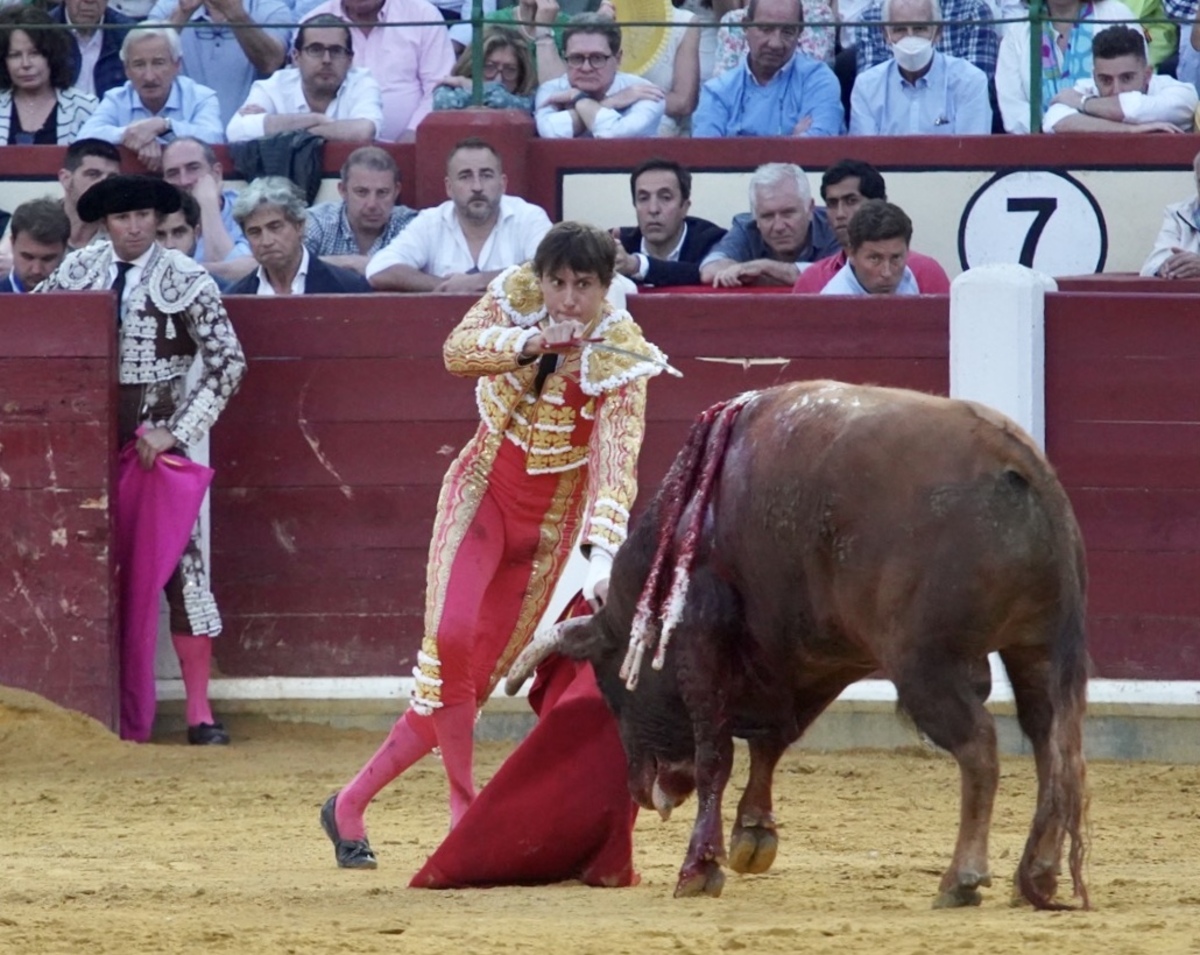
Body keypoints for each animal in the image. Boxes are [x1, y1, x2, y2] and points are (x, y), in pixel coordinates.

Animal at [511, 381, 1094, 911]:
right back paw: (1036, 875)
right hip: (1036, 651)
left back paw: (963, 879)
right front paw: (752, 837)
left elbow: (717, 754)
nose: (643, 789)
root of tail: (1017, 460)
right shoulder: (810, 657)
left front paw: (700, 867)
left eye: (613, 686)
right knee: (1053, 745)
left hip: (927, 665)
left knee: (980, 746)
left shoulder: (703, 643)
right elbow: (771, 741)